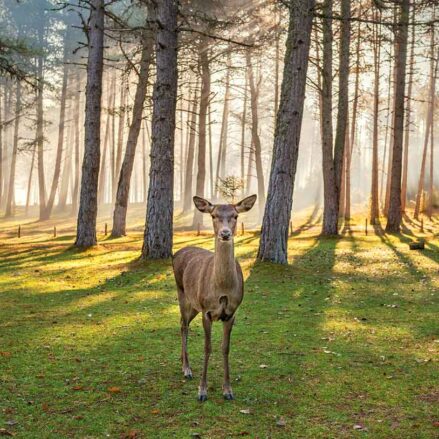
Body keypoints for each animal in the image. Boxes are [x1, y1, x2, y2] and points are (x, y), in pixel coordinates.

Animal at [173, 195, 258, 402]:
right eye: (213, 215)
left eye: (235, 215)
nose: (225, 233)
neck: (222, 289)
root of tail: (177, 252)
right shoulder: (207, 310)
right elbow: (207, 347)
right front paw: (202, 390)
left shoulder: (231, 313)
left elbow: (225, 347)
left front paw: (227, 390)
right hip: (183, 293)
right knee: (183, 325)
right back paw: (186, 369)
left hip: (194, 304)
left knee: (182, 323)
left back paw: (182, 361)